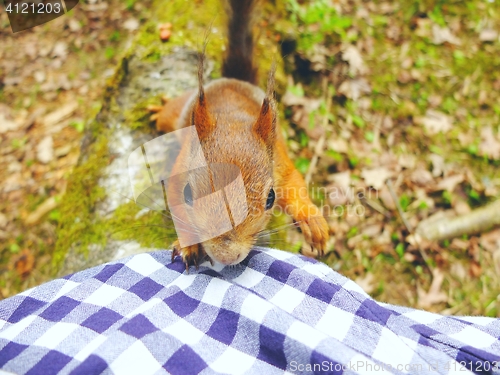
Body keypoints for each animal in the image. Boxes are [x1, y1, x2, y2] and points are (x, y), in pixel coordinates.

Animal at [148, 0, 328, 270]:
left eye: (270, 198)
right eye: (188, 194)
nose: (226, 255)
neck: (231, 122)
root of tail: (234, 79)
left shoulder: (279, 163)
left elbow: (295, 185)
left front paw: (313, 222)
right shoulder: (178, 175)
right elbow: (176, 207)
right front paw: (189, 246)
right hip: (176, 117)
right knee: (168, 115)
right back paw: (159, 111)